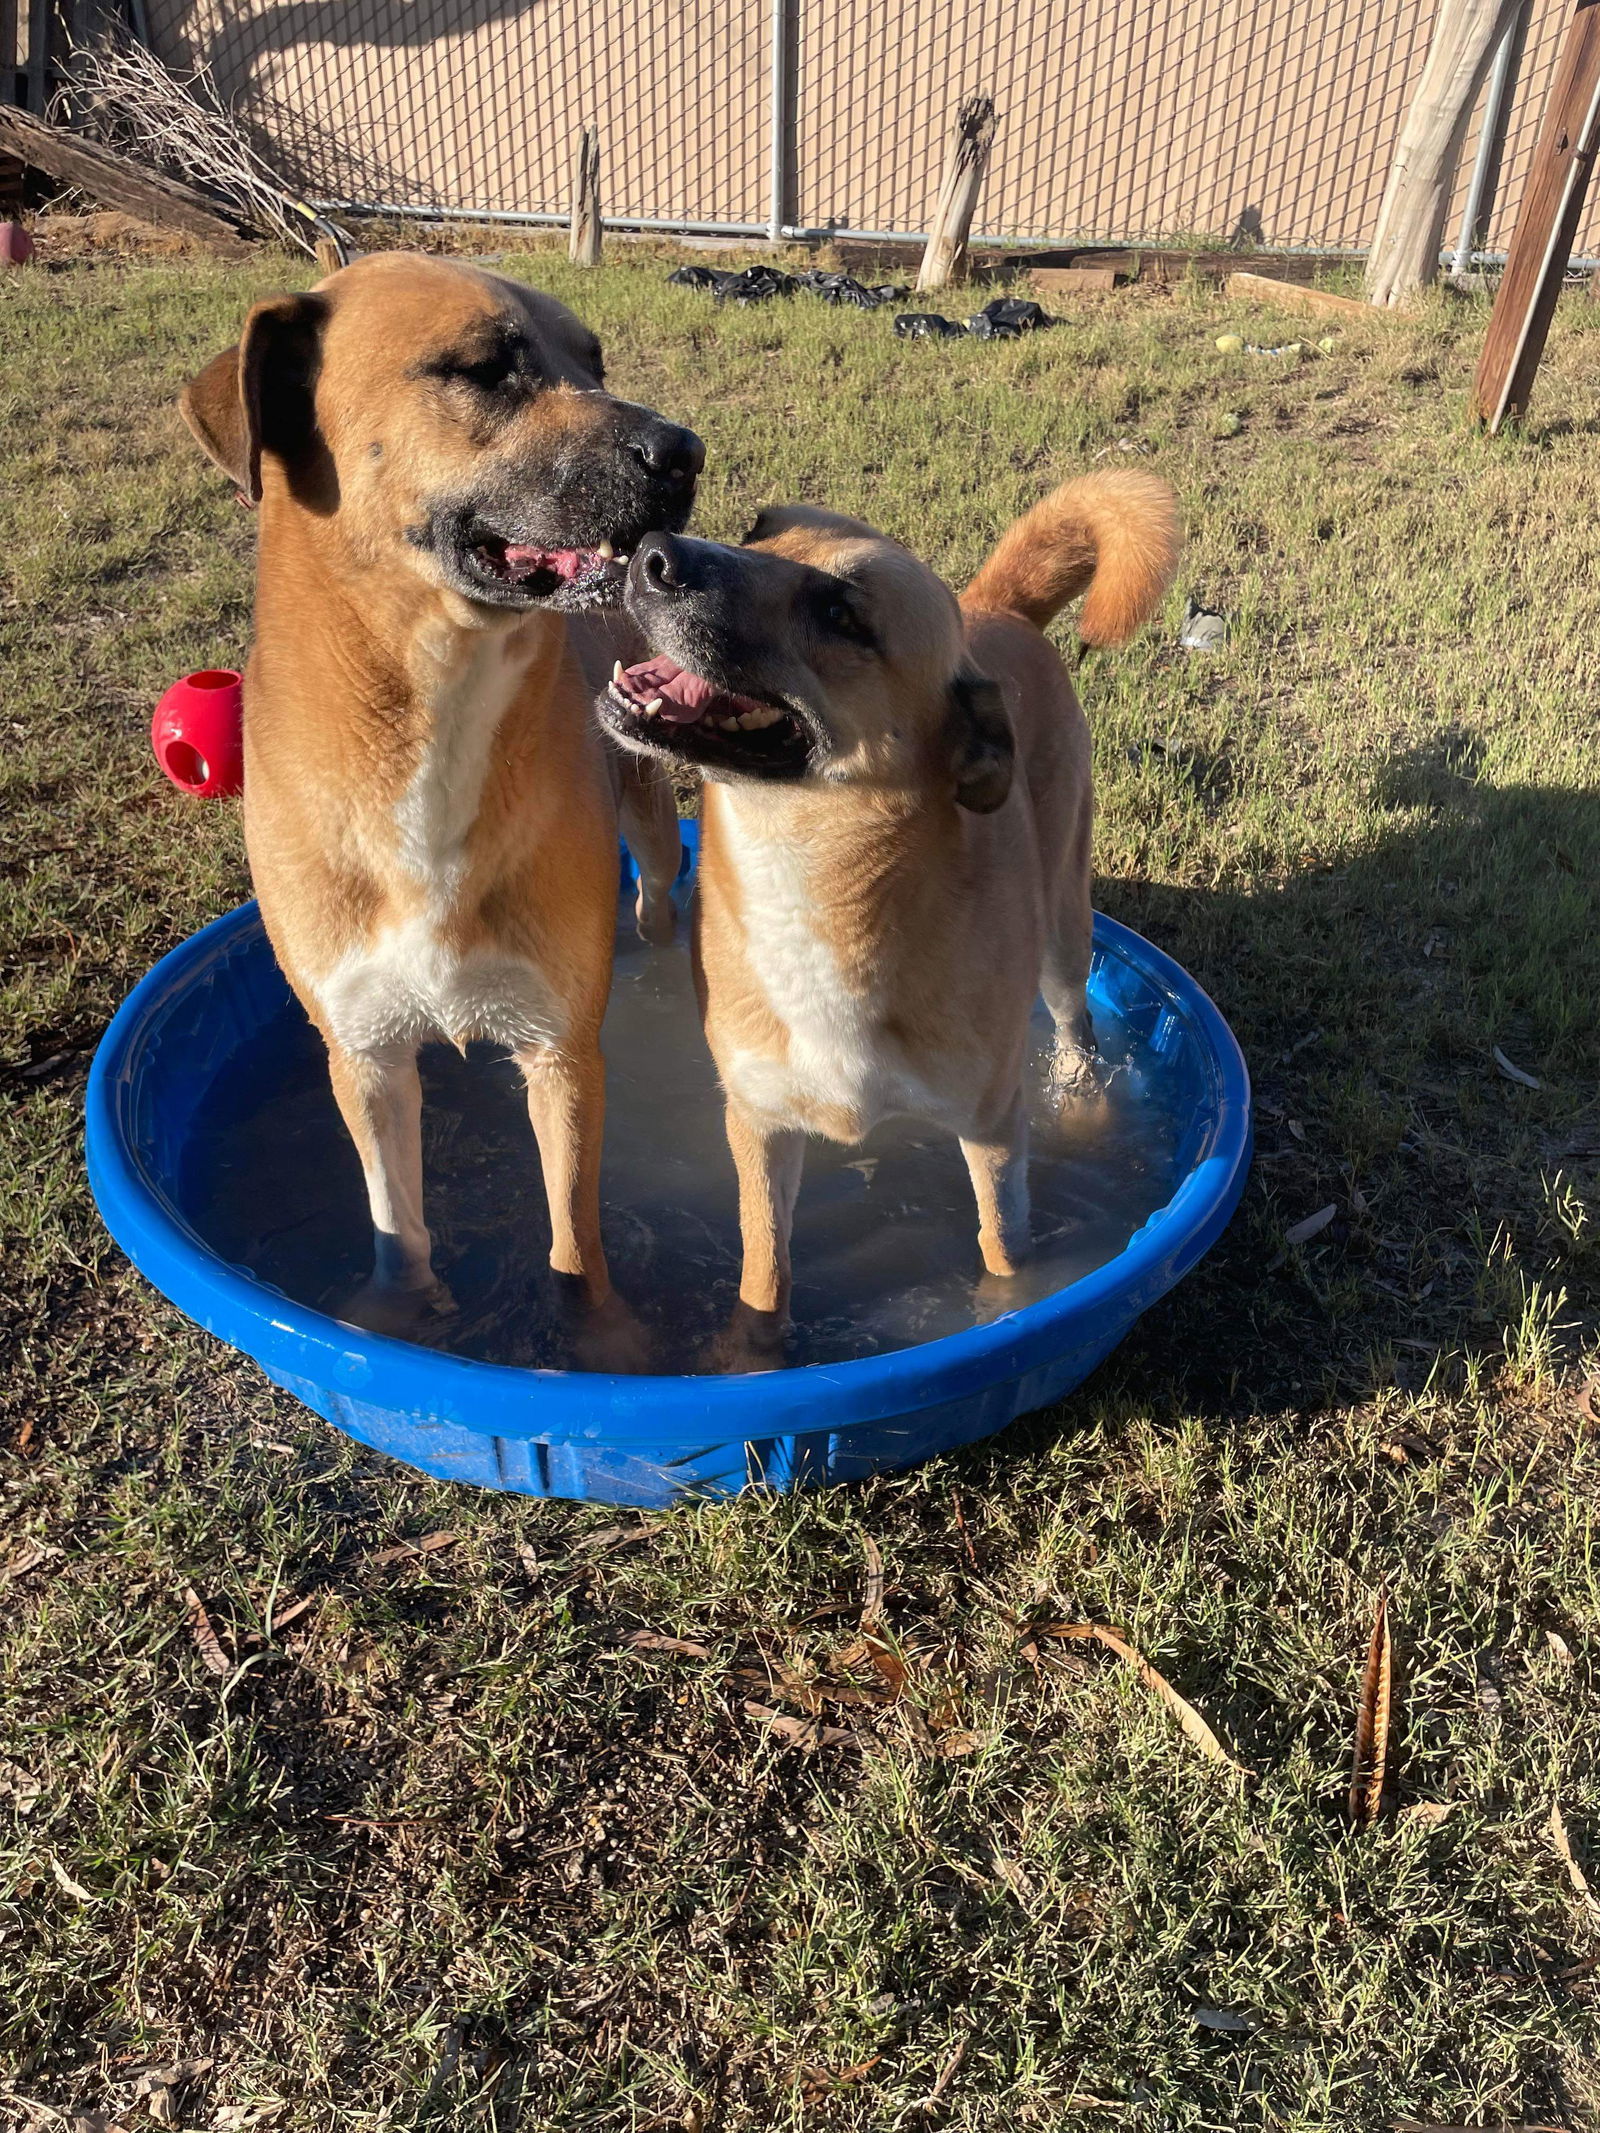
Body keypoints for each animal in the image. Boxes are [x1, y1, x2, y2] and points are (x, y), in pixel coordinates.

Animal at [178, 249, 699, 1348]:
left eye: (593, 360)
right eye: (480, 369)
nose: (685, 452)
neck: (438, 703)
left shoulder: (560, 1049)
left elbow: (574, 1238)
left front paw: (598, 1341)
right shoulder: (363, 1052)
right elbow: (396, 1217)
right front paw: (400, 1312)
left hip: (647, 826)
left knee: (655, 897)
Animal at [597, 473, 1186, 1356]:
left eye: (843, 613)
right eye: (758, 529)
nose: (652, 554)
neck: (809, 878)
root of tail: (993, 606)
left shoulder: (990, 1125)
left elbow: (1003, 1248)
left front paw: (1007, 1315)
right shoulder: (760, 1122)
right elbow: (764, 1268)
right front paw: (750, 1356)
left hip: (1064, 928)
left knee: (1076, 1022)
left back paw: (1085, 1099)